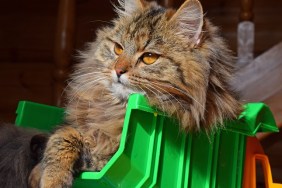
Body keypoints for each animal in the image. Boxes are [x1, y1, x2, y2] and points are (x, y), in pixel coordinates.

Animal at [27, 0, 241, 187]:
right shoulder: (81, 130)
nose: (118, 70)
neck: (116, 108)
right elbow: (61, 138)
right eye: (118, 48)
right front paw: (47, 177)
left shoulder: (105, 157)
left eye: (149, 57)